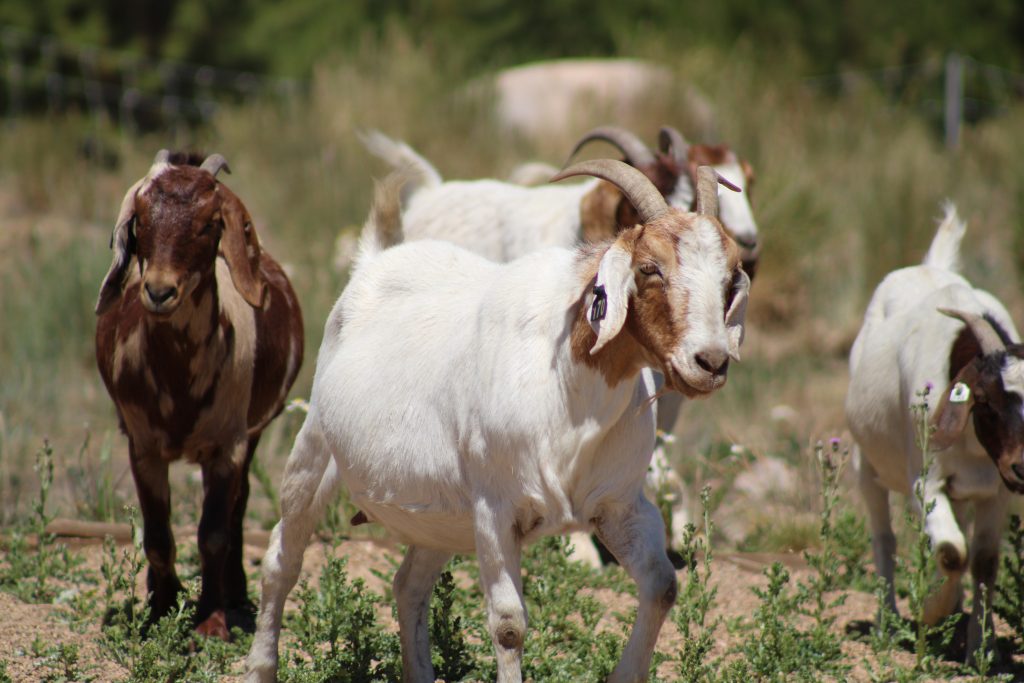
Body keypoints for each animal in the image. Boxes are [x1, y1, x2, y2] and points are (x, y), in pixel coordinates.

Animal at [95, 150, 304, 640]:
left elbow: (213, 533)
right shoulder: (143, 446)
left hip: (251, 435)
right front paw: (162, 609)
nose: (159, 291)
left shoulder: (229, 445)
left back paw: (235, 593)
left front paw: (211, 619)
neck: (179, 380)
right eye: (141, 219)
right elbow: (157, 535)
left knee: (237, 507)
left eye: (210, 224)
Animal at [246, 160, 750, 682]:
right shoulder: (496, 508)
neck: (568, 391)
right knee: (282, 559)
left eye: (730, 277)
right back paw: (260, 666)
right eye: (650, 268)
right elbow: (509, 625)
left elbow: (662, 586)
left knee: (409, 584)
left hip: (440, 512)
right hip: (315, 447)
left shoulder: (620, 504)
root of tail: (372, 262)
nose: (710, 362)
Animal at [846, 203, 1024, 661]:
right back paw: (887, 623)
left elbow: (982, 561)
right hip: (865, 463)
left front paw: (980, 647)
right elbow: (950, 553)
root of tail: (931, 266)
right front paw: (930, 611)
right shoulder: (924, 483)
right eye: (985, 400)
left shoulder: (996, 491)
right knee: (884, 539)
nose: (1022, 468)